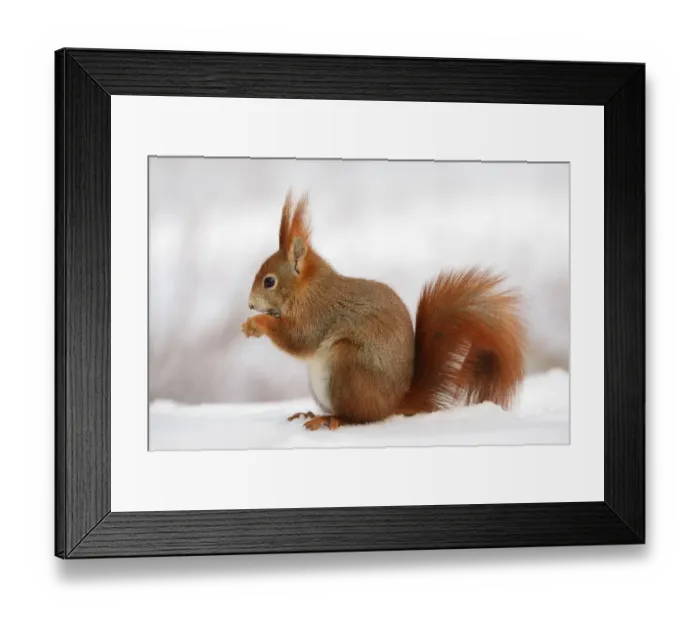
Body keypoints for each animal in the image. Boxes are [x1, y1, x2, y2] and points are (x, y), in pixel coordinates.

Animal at [242, 191, 526, 431]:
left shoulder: (319, 312)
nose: (250, 304)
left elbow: (299, 338)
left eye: (269, 281)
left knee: (359, 418)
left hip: (347, 365)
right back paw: (311, 413)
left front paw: (256, 323)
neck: (308, 288)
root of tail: (394, 403)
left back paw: (330, 419)